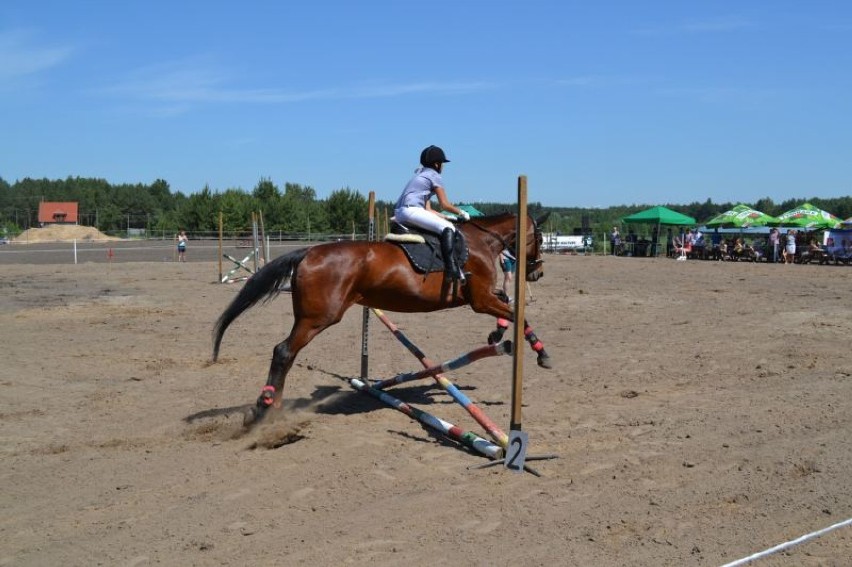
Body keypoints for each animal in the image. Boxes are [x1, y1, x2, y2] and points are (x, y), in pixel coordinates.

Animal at [213, 213, 552, 426]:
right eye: (539, 238)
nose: (537, 272)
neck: (481, 243)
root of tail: (308, 252)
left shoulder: (482, 299)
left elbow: (508, 304)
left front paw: (496, 336)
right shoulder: (479, 301)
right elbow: (519, 315)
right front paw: (541, 353)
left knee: (285, 353)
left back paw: (270, 406)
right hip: (318, 318)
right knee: (284, 351)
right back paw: (265, 408)